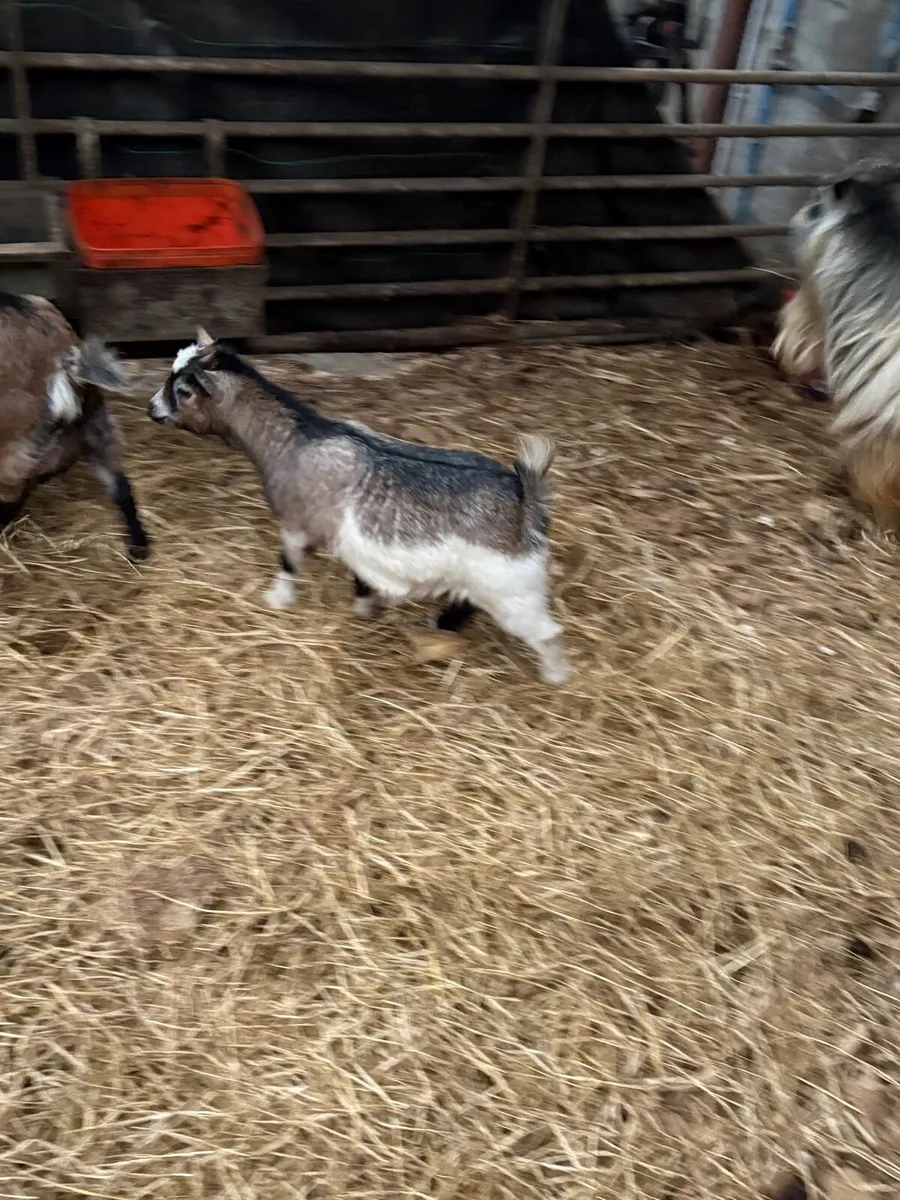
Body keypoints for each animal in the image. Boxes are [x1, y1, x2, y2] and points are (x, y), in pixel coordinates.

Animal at [0, 291, 149, 559]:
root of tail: (61, 357)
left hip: (14, 436)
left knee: (13, 488)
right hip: (92, 421)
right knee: (117, 479)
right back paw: (138, 546)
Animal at [148, 330, 570, 683]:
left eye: (184, 392)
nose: (152, 408)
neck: (292, 442)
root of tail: (525, 497)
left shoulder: (296, 523)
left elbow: (288, 563)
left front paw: (277, 601)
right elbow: (361, 578)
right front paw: (365, 609)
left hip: (512, 587)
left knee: (546, 632)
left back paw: (555, 676)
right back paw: (439, 628)